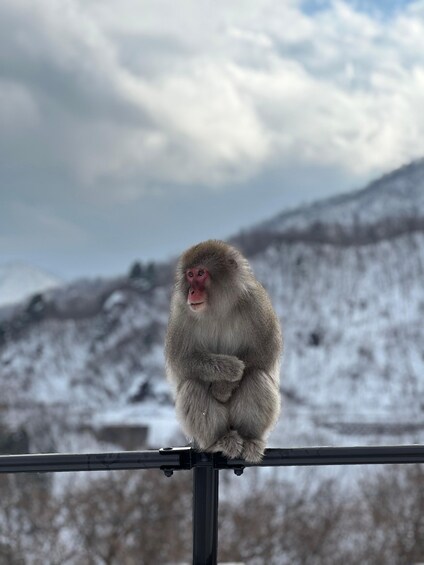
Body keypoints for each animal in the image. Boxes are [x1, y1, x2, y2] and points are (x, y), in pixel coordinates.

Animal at [165, 239, 282, 462]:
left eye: (201, 273)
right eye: (190, 275)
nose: (192, 292)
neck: (218, 307)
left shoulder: (256, 303)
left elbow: (265, 350)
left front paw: (223, 387)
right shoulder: (181, 311)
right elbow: (181, 361)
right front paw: (230, 369)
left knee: (256, 376)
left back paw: (250, 440)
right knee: (191, 386)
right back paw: (218, 441)